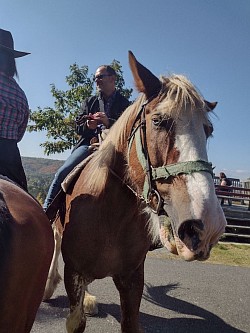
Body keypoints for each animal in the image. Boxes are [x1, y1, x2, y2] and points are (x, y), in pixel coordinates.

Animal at [45, 50, 227, 330]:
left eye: (208, 131)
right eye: (158, 121)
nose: (208, 225)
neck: (110, 215)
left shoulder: (132, 279)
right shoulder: (73, 271)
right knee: (54, 240)